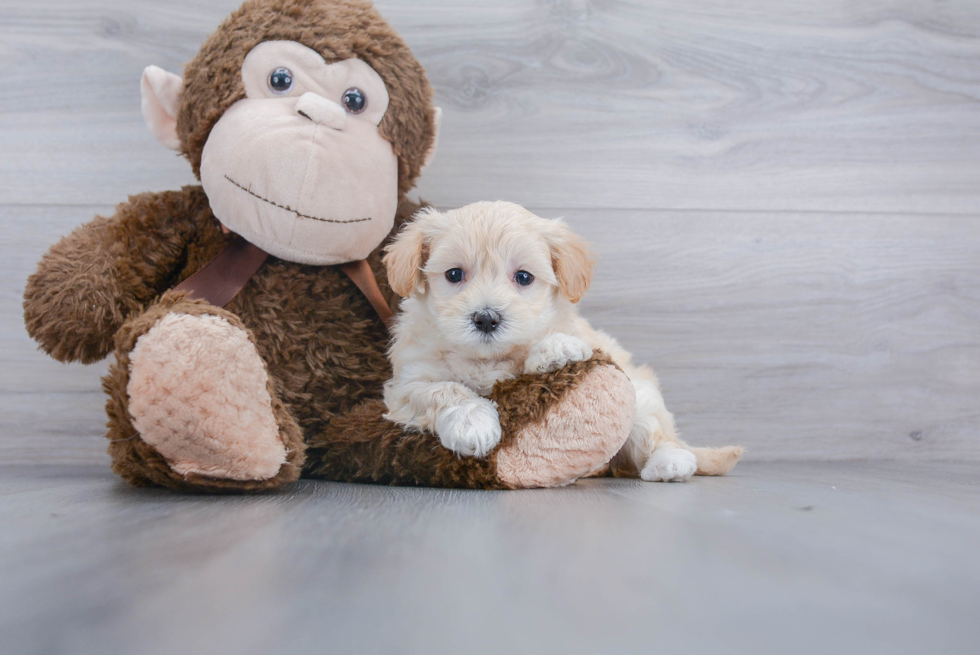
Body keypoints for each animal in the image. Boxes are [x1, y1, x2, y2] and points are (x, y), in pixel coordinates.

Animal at [382, 200, 744, 482]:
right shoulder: (406, 384)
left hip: (641, 398)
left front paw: (556, 349)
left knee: (658, 436)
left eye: (523, 277)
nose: (486, 318)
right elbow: (444, 390)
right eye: (454, 274)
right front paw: (473, 423)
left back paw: (669, 462)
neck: (487, 359)